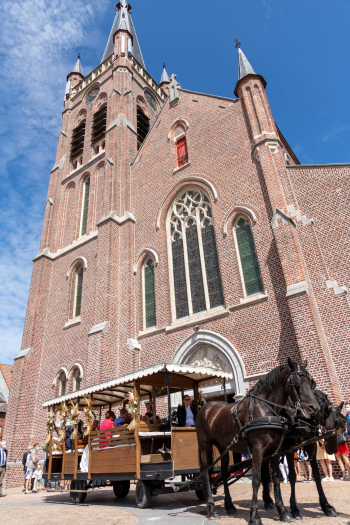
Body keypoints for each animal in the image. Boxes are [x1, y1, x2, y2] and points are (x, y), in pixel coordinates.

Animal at [196, 358, 318, 520]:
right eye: (297, 381)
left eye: (311, 382)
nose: (314, 408)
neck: (265, 409)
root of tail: (205, 406)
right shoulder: (257, 449)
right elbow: (256, 480)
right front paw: (254, 516)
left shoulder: (275, 451)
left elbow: (275, 479)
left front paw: (283, 512)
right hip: (205, 446)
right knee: (206, 475)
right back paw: (212, 509)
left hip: (224, 448)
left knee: (223, 473)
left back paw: (230, 507)